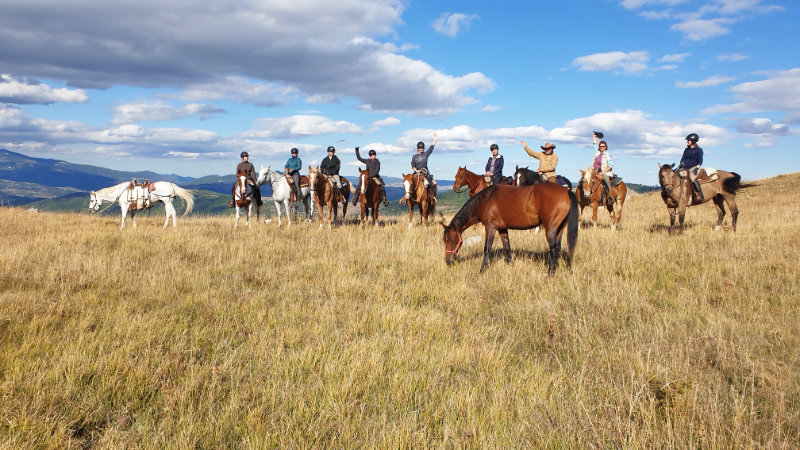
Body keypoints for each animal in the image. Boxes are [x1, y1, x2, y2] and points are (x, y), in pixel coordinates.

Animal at [440, 183, 580, 274]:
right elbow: (507, 247)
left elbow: (487, 248)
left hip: (550, 229)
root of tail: (567, 191)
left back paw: (550, 273)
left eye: (452, 240)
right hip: (560, 228)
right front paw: (510, 265)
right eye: (444, 240)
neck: (485, 200)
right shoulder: (502, 229)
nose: (447, 261)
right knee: (558, 248)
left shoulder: (491, 227)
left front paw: (482, 270)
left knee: (553, 249)